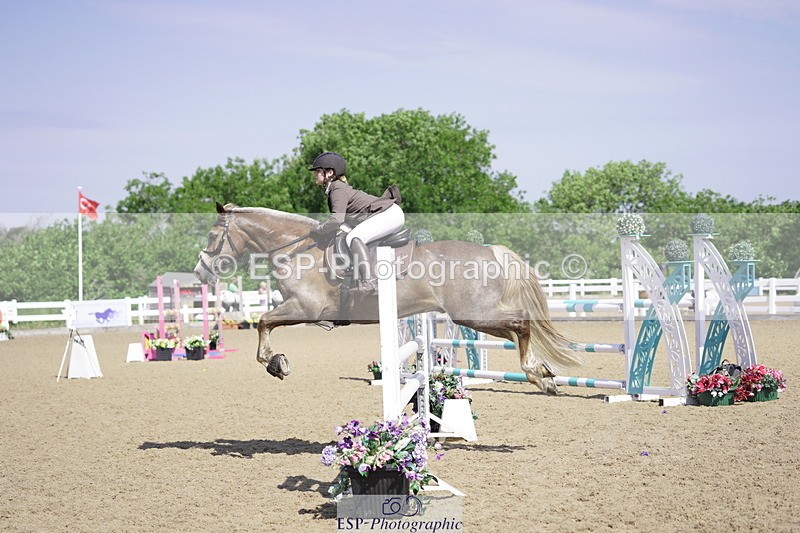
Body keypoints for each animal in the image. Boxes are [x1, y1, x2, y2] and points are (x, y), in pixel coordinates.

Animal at [194, 203, 581, 394]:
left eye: (212, 236)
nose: (200, 273)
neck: (297, 249)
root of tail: (491, 250)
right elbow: (265, 323)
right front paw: (277, 361)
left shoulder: (305, 307)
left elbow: (263, 322)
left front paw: (276, 363)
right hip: (473, 315)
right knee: (518, 326)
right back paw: (544, 374)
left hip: (475, 314)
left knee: (521, 322)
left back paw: (539, 375)